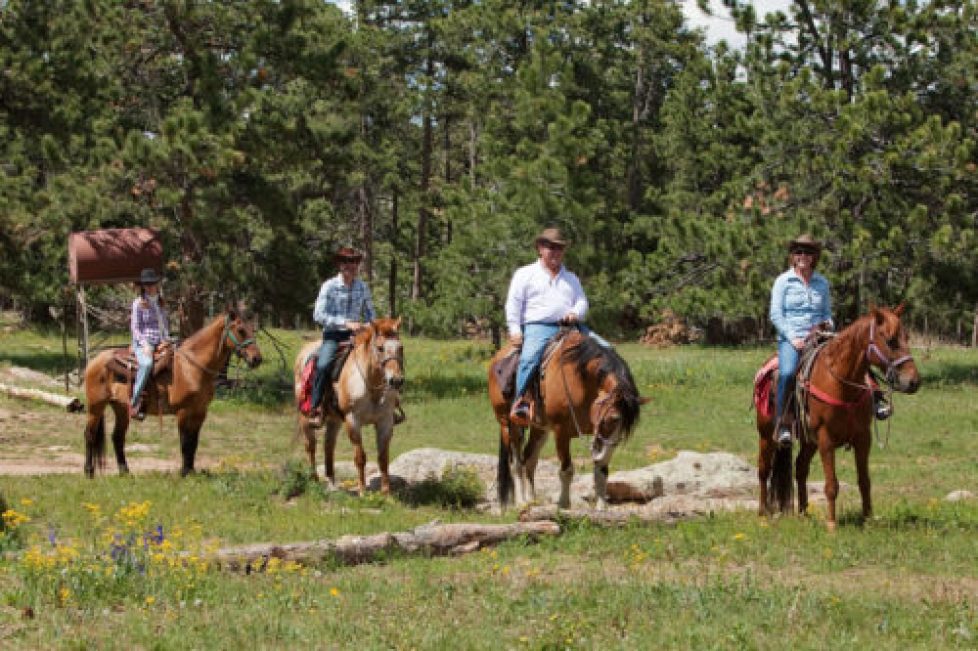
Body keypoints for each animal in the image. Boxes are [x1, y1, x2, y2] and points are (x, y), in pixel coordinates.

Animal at [82, 306, 262, 478]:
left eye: (253, 330)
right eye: (241, 330)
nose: (257, 359)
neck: (192, 367)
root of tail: (95, 360)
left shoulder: (200, 412)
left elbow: (193, 443)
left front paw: (191, 471)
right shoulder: (183, 411)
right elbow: (185, 442)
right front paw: (184, 472)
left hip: (121, 408)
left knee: (117, 437)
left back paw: (125, 472)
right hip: (96, 406)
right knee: (90, 434)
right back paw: (89, 471)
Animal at [290, 318, 404, 496]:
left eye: (401, 348)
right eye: (380, 348)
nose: (396, 380)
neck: (371, 386)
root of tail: (305, 350)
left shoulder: (385, 421)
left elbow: (383, 458)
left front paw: (386, 494)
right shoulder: (352, 420)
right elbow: (360, 457)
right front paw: (363, 492)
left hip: (334, 419)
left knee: (329, 446)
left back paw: (331, 482)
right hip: (305, 417)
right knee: (310, 446)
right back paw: (314, 480)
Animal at [488, 332, 648, 510]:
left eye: (626, 426)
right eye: (611, 419)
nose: (601, 453)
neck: (581, 381)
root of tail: (497, 358)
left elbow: (601, 471)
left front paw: (601, 507)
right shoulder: (561, 432)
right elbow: (567, 470)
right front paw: (564, 503)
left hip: (540, 428)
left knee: (529, 460)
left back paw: (532, 500)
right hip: (508, 424)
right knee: (515, 463)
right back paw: (521, 501)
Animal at [756, 306, 924, 528]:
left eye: (907, 337)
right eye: (890, 341)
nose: (913, 382)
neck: (841, 384)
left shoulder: (863, 438)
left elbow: (864, 481)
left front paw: (868, 520)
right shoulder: (826, 438)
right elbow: (831, 485)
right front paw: (832, 525)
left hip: (809, 441)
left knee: (800, 468)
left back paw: (804, 513)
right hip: (767, 436)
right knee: (763, 470)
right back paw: (762, 513)